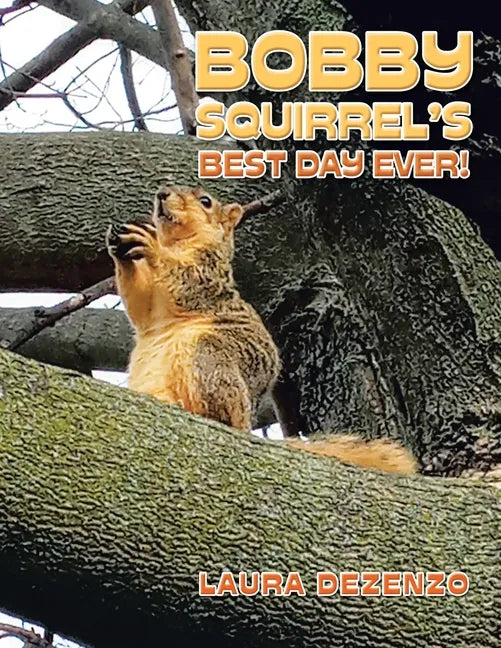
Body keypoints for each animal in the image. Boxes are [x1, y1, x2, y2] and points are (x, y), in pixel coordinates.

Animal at [106, 185, 416, 475]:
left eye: (205, 201)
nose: (162, 193)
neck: (177, 244)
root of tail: (246, 424)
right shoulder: (151, 306)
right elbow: (140, 304)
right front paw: (118, 246)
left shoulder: (210, 275)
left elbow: (187, 281)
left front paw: (150, 245)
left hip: (210, 358)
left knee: (223, 411)